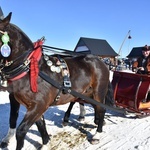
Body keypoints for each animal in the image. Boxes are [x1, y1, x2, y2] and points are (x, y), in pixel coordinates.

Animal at [0, 12, 112, 150]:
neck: (28, 69)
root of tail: (101, 61)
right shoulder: (33, 106)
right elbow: (39, 124)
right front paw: (46, 142)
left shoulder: (39, 105)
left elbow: (21, 131)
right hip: (86, 92)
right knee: (90, 105)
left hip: (98, 92)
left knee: (101, 109)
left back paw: (97, 133)